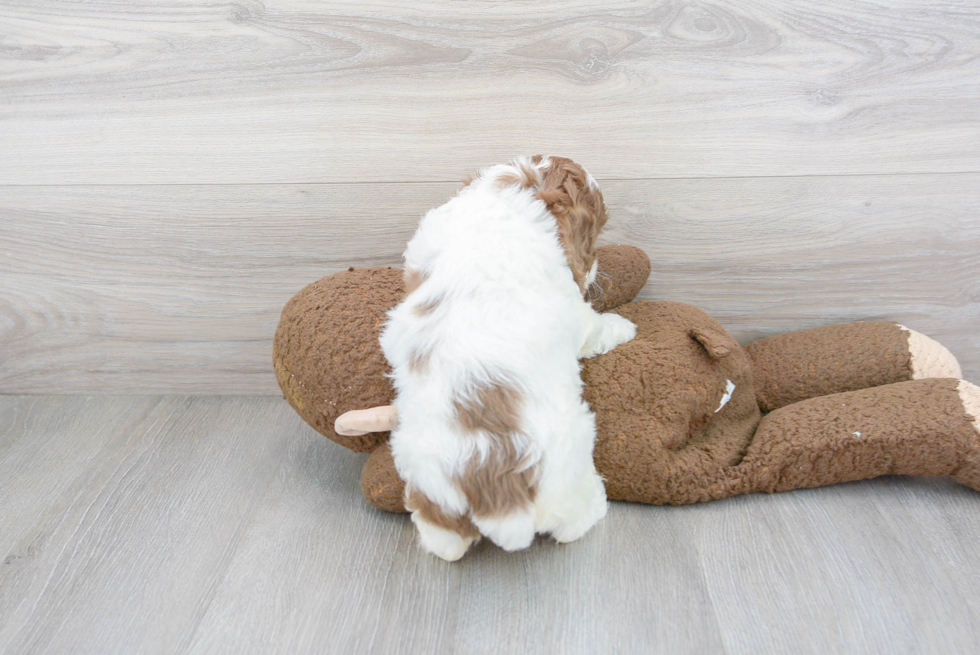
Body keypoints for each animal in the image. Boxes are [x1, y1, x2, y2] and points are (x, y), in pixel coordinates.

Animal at [378, 156, 640, 560]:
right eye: (596, 231)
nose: (594, 267)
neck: (506, 196)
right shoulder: (577, 314)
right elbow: (597, 327)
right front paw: (624, 326)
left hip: (427, 487)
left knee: (444, 540)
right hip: (570, 470)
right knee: (572, 522)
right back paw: (595, 511)